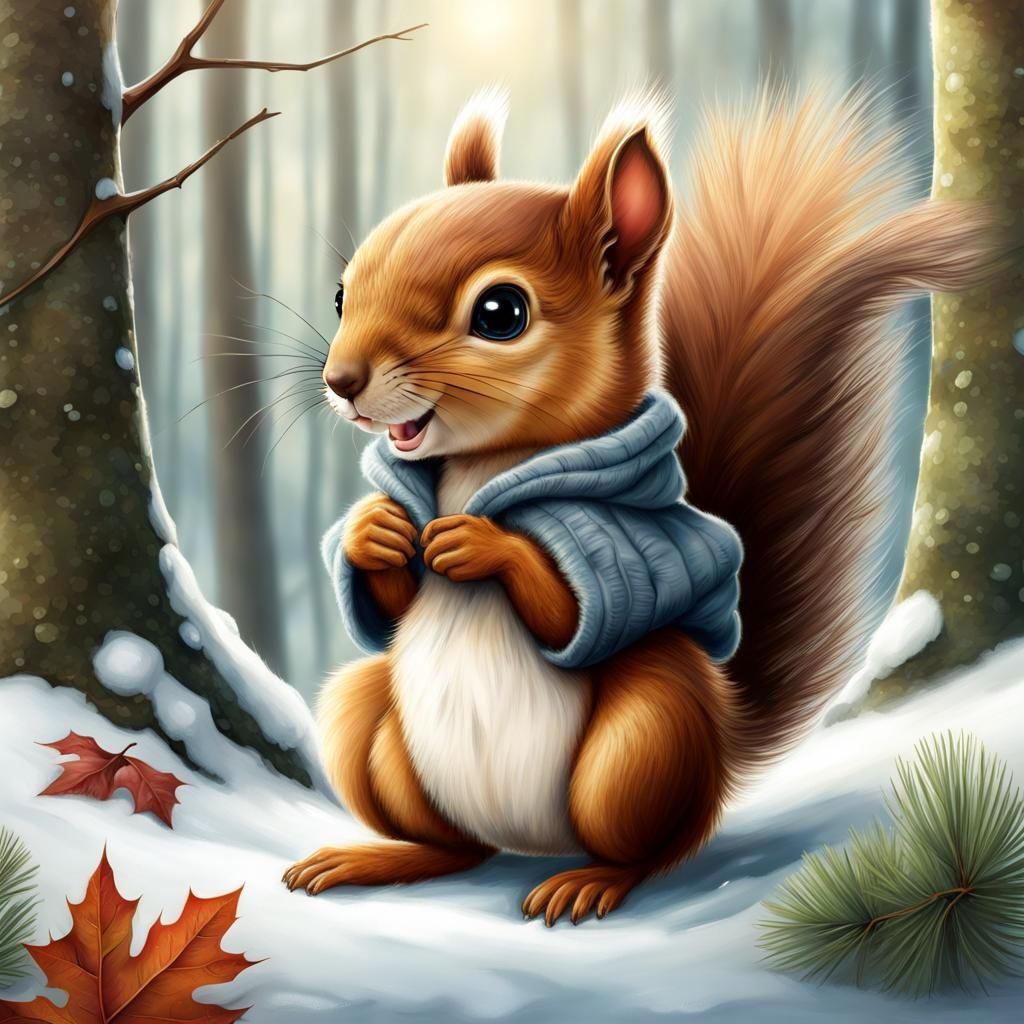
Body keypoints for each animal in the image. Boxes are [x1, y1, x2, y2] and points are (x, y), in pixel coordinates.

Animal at [283, 89, 996, 925]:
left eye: (500, 313)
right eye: (341, 294)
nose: (342, 381)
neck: (484, 468)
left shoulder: (630, 549)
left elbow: (577, 612)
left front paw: (485, 544)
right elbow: (389, 608)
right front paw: (373, 529)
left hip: (648, 733)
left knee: (657, 847)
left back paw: (592, 880)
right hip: (367, 717)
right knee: (454, 845)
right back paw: (379, 857)